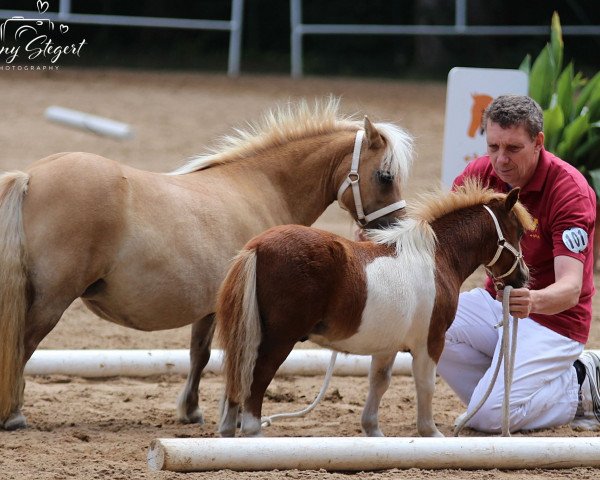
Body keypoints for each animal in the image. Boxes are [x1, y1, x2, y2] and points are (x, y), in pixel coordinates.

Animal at [0, 99, 412, 430]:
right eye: (385, 176)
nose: (394, 230)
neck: (262, 186)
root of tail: (31, 176)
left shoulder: (210, 307)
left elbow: (200, 355)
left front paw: (191, 410)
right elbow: (237, 356)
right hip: (52, 300)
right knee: (23, 344)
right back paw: (14, 414)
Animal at [217, 181, 536, 438]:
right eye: (519, 232)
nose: (523, 277)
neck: (436, 256)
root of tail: (258, 246)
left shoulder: (387, 346)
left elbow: (379, 383)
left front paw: (373, 430)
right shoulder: (431, 342)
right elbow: (426, 384)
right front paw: (430, 432)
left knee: (237, 379)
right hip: (279, 341)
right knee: (256, 380)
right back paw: (253, 432)